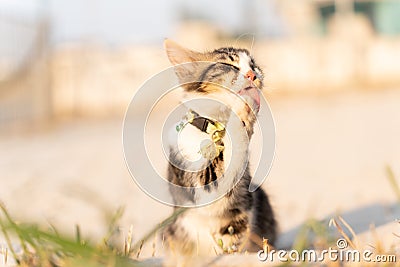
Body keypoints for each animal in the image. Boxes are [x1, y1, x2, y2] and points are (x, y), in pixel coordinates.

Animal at [162, 39, 276, 262]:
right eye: (228, 65)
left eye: (253, 65)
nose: (252, 75)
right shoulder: (198, 185)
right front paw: (244, 107)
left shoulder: (242, 199)